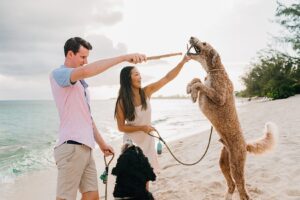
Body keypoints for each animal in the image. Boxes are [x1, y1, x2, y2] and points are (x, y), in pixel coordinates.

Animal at [186, 36, 278, 199]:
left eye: (204, 43)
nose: (191, 36)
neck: (215, 71)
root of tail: (245, 144)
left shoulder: (219, 97)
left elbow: (201, 85)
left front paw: (193, 92)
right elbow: (197, 79)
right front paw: (189, 88)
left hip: (236, 166)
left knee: (242, 192)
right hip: (223, 162)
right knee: (231, 185)